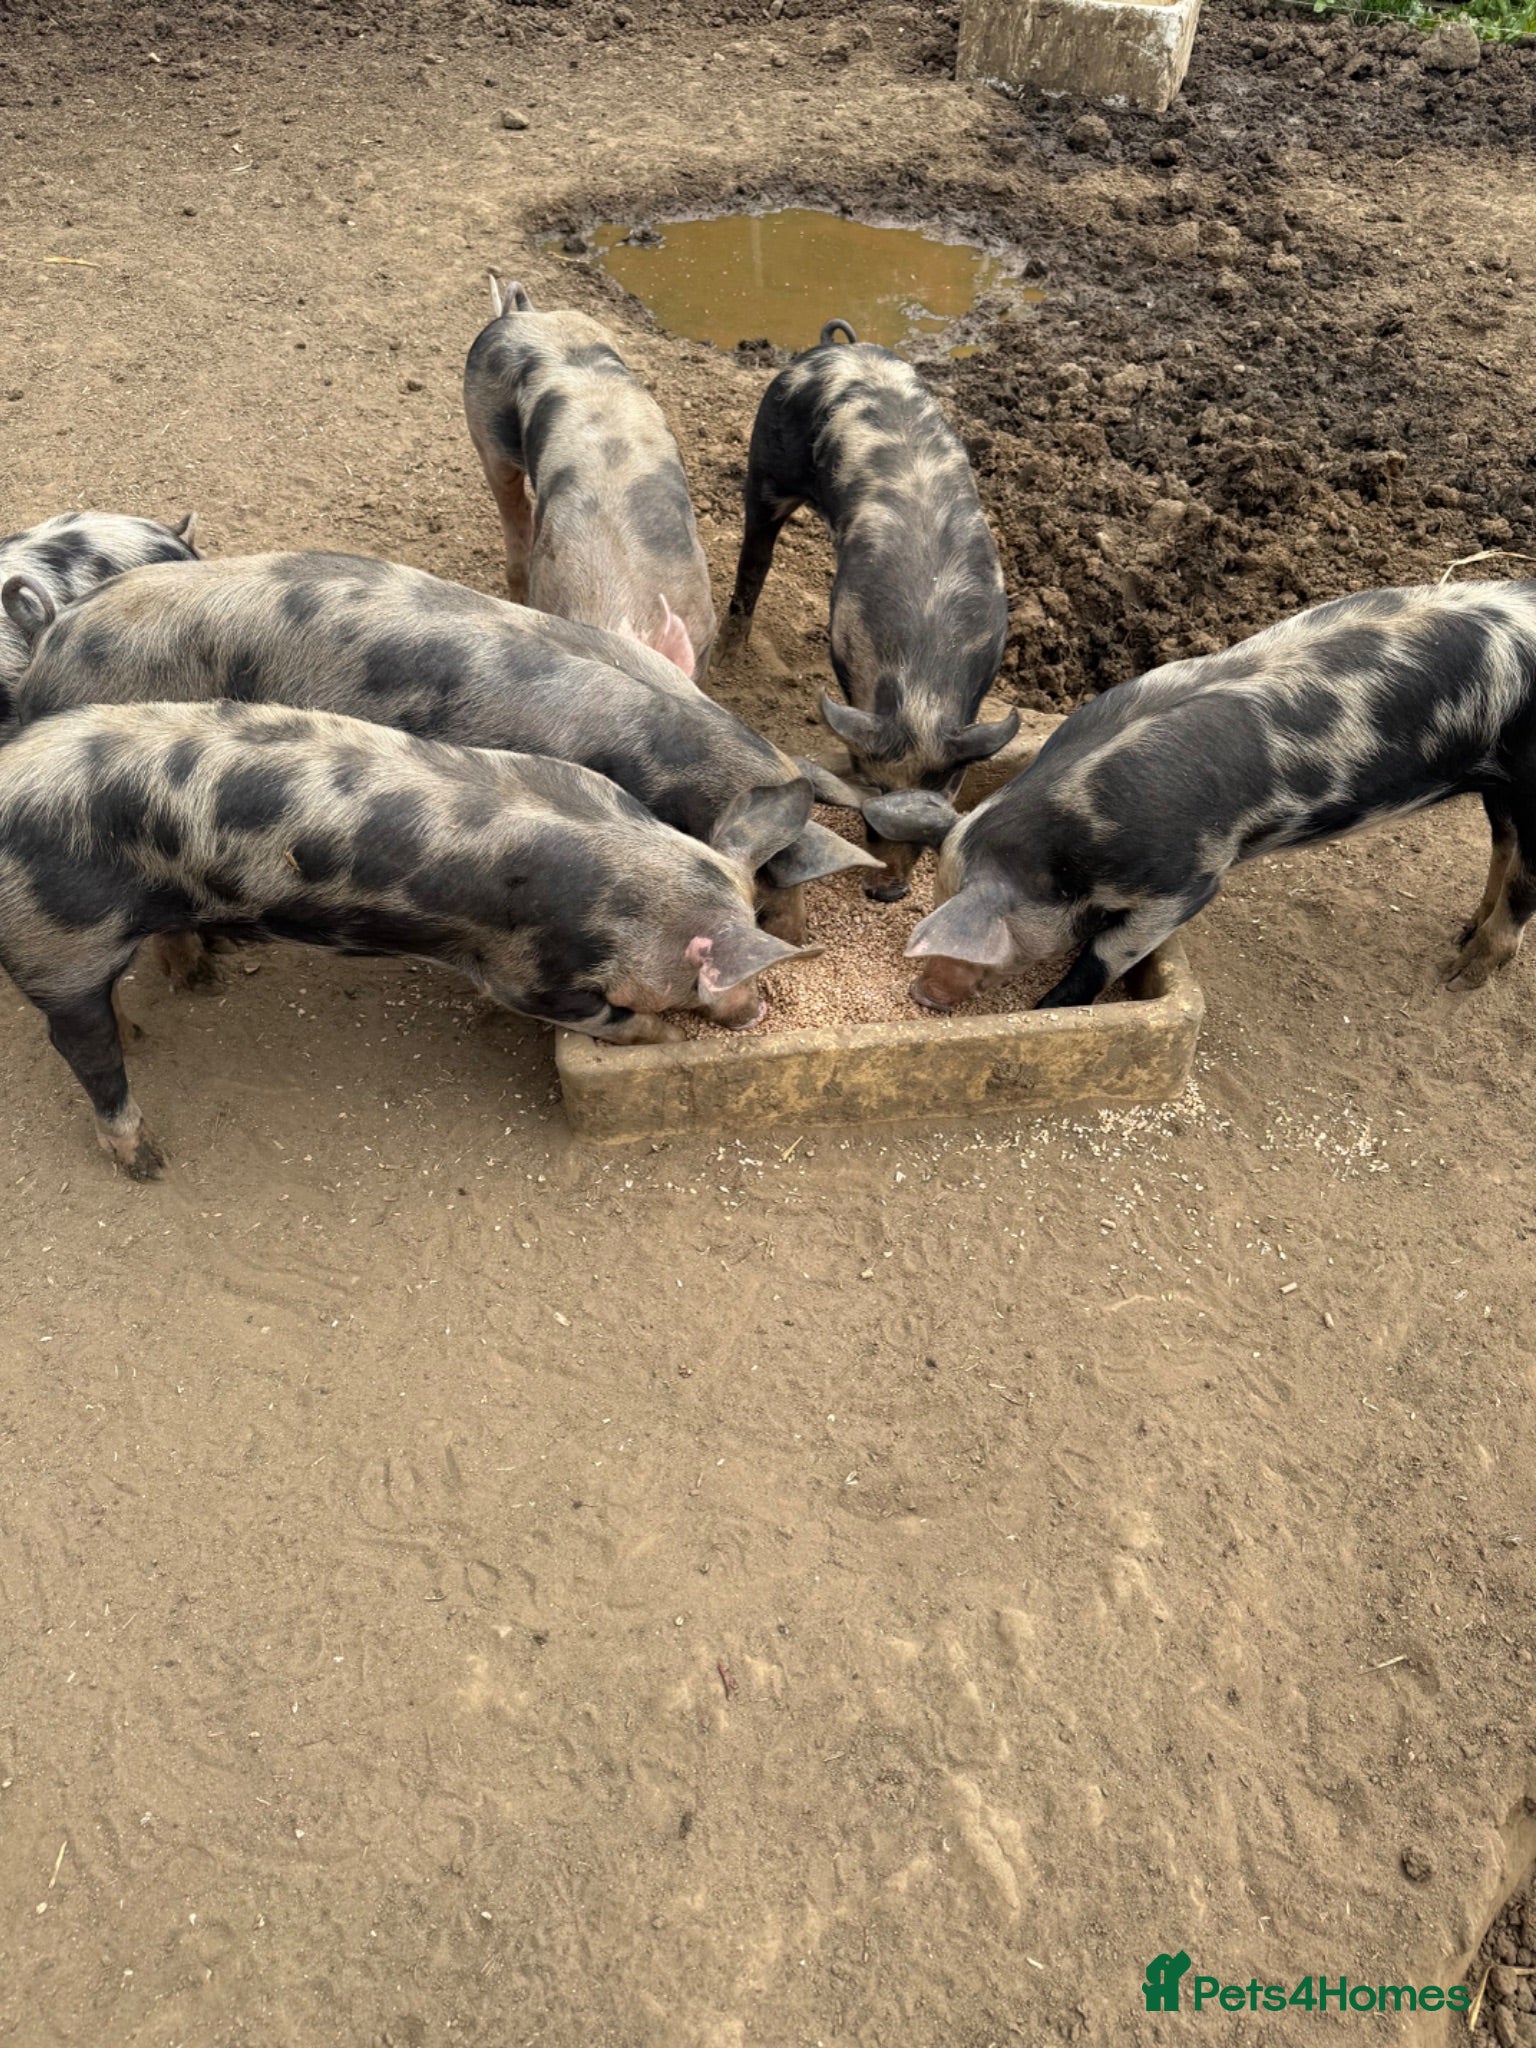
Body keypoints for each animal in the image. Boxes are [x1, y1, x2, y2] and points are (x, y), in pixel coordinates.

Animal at [0, 699, 819, 1177]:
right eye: (717, 975)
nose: (758, 1012)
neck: (630, 893)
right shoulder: (526, 971)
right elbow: (602, 1015)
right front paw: (664, 1035)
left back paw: (161, 1017)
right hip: (57, 944)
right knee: (82, 1049)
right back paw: (149, 1160)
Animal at [722, 318, 1016, 901]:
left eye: (943, 791)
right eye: (874, 789)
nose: (888, 891)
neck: (923, 680)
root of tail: (836, 350)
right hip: (766, 463)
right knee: (755, 555)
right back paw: (729, 655)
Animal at [893, 581, 1536, 1011]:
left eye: (982, 944)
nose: (922, 995)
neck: (1077, 830)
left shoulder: (1188, 879)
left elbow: (1106, 952)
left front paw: (1046, 1011)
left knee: (1522, 883)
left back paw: (1457, 976)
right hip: (1500, 782)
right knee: (1504, 844)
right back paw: (1463, 930)